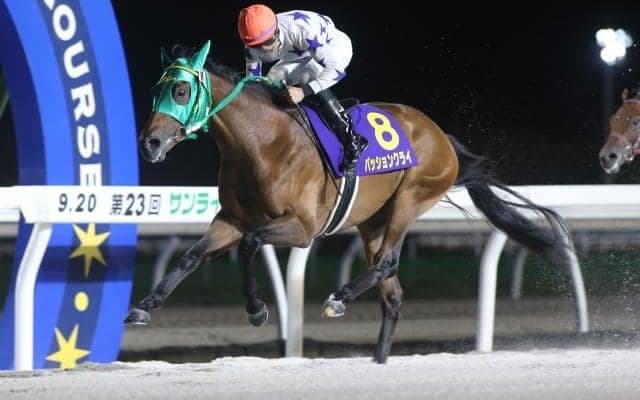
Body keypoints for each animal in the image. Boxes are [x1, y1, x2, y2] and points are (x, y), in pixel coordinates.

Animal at [126, 40, 578, 364]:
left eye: (181, 89)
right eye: (155, 88)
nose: (149, 143)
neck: (262, 143)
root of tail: (442, 137)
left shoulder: (302, 229)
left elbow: (253, 244)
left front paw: (256, 311)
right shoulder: (231, 220)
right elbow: (191, 256)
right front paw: (144, 307)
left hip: (410, 198)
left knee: (388, 263)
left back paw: (339, 298)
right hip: (372, 223)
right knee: (392, 295)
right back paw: (377, 360)